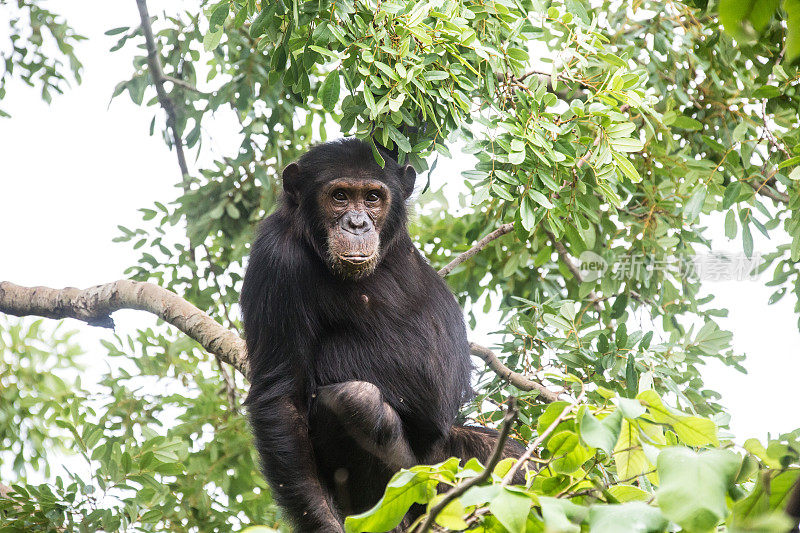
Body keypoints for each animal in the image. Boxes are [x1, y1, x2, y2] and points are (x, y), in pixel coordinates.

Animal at [241, 138, 520, 532]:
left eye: (372, 197)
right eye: (340, 196)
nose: (357, 223)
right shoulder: (274, 259)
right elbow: (281, 396)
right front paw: (324, 523)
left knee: (514, 454)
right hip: (418, 479)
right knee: (358, 404)